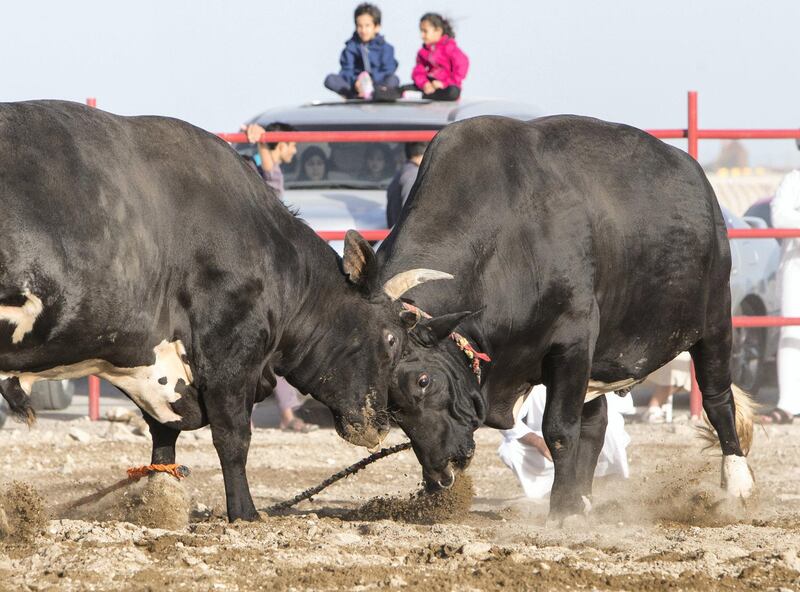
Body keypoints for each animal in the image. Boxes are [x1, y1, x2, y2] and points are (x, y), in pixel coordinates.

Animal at [0, 102, 446, 524]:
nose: (380, 425)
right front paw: (245, 513)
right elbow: (233, 439)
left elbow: (163, 444)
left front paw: (160, 505)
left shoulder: (163, 372)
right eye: (391, 338)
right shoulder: (230, 356)